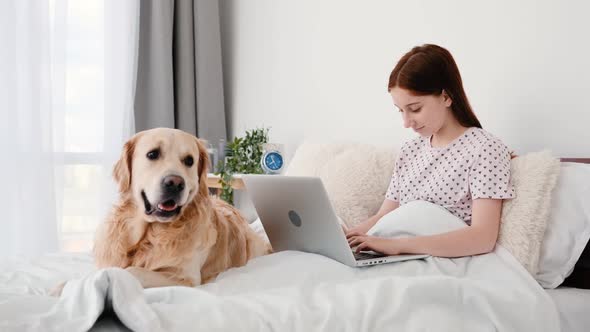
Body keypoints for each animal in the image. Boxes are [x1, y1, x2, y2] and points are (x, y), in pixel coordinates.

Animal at [93, 127, 272, 288]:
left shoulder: (186, 277)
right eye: (152, 154)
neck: (149, 235)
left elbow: (131, 271)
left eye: (189, 161)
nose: (175, 183)